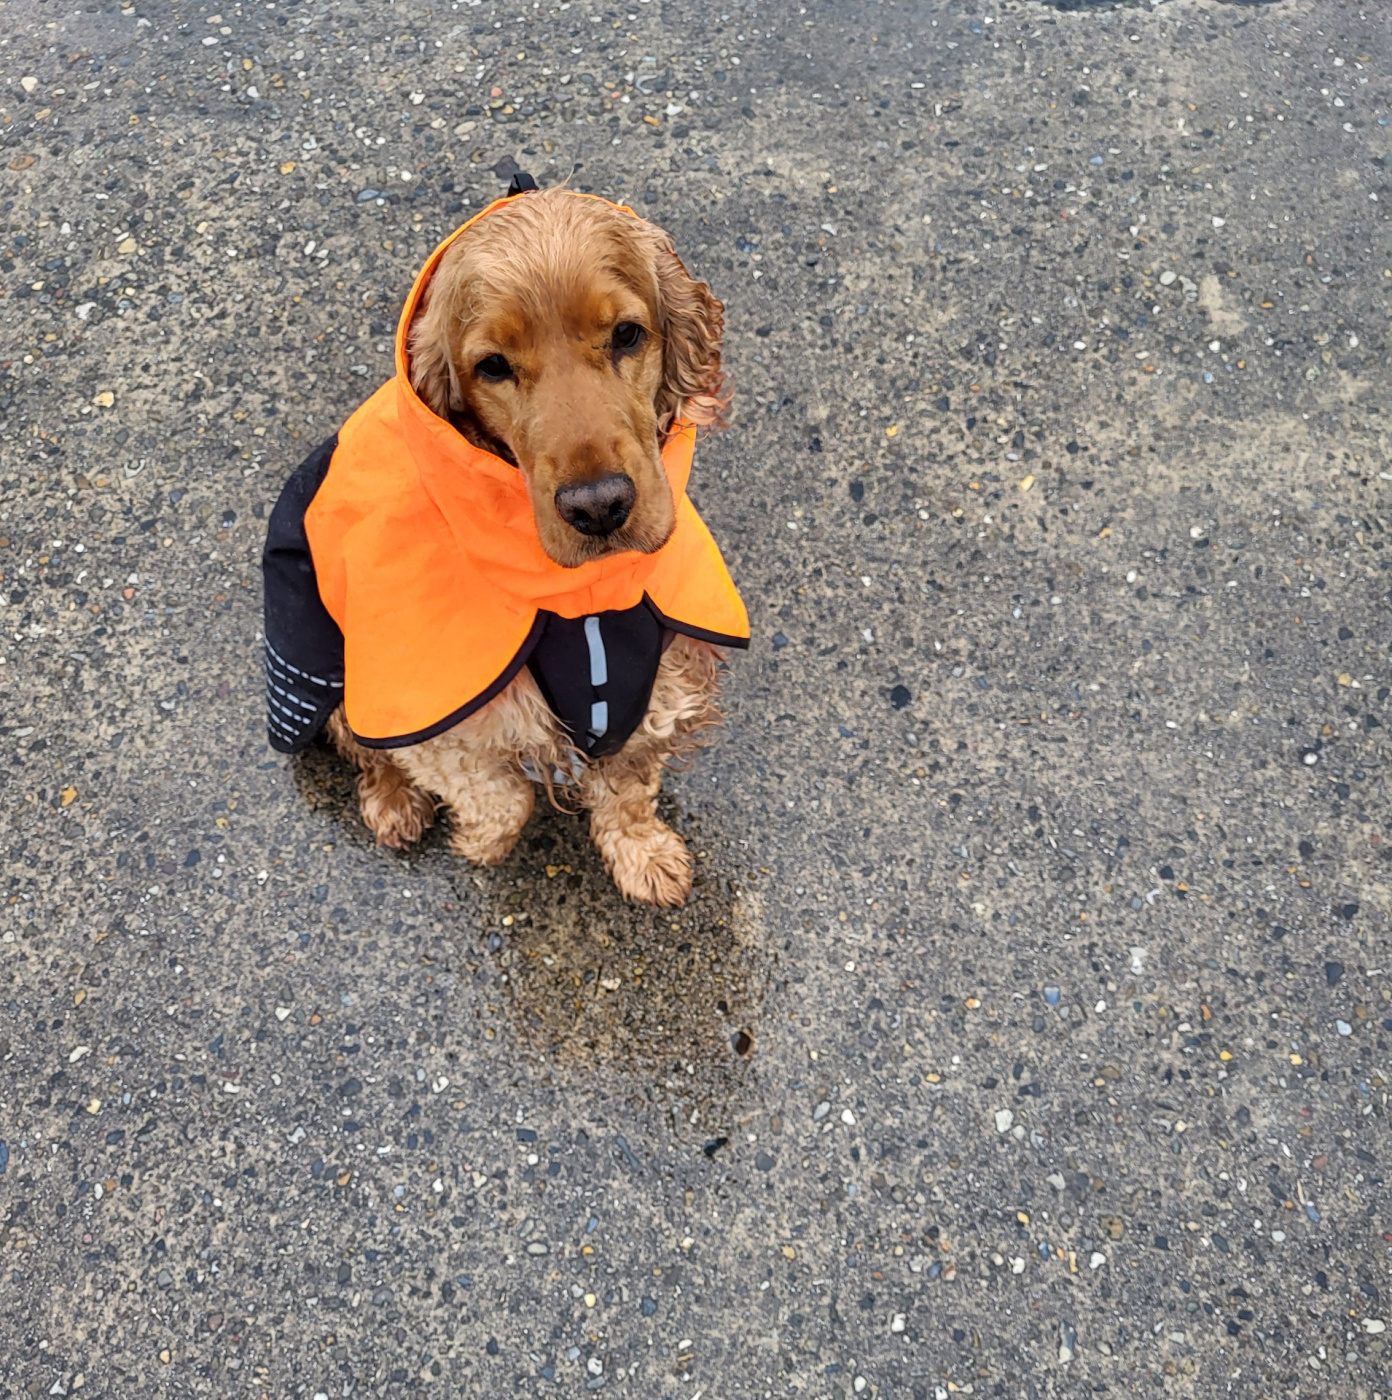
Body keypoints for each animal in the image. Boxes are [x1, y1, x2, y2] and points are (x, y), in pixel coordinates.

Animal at [262, 181, 747, 906]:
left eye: (627, 335)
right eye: (491, 366)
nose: (600, 507)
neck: (581, 604)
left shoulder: (659, 685)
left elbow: (630, 788)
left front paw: (645, 857)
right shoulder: (432, 719)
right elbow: (501, 797)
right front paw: (479, 843)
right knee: (354, 741)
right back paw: (393, 804)